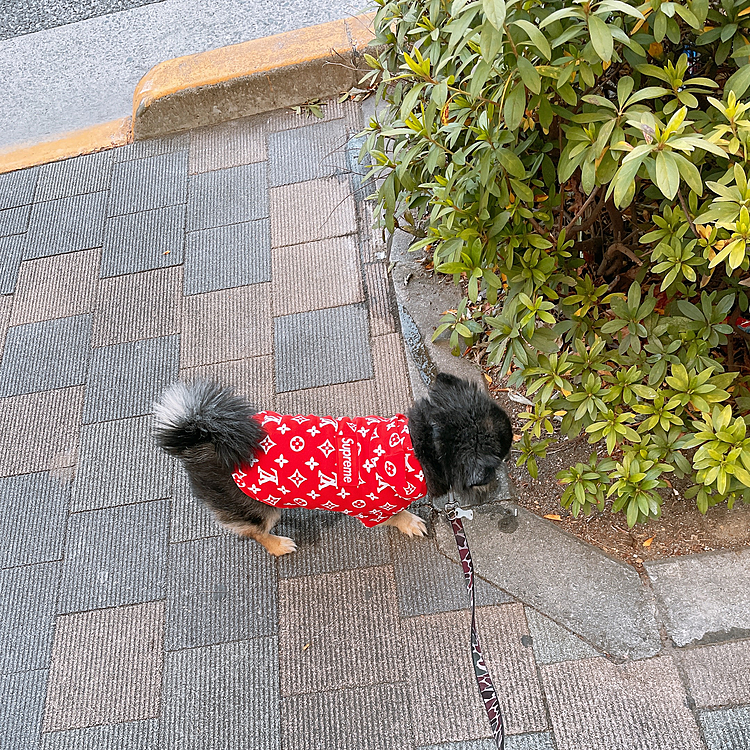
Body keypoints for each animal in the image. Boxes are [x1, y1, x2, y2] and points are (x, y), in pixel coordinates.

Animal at [155, 376, 516, 560]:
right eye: (503, 454)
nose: (514, 452)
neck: (422, 443)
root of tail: (201, 436)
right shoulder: (374, 509)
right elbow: (397, 515)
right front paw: (411, 522)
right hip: (256, 508)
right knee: (256, 531)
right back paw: (279, 544)